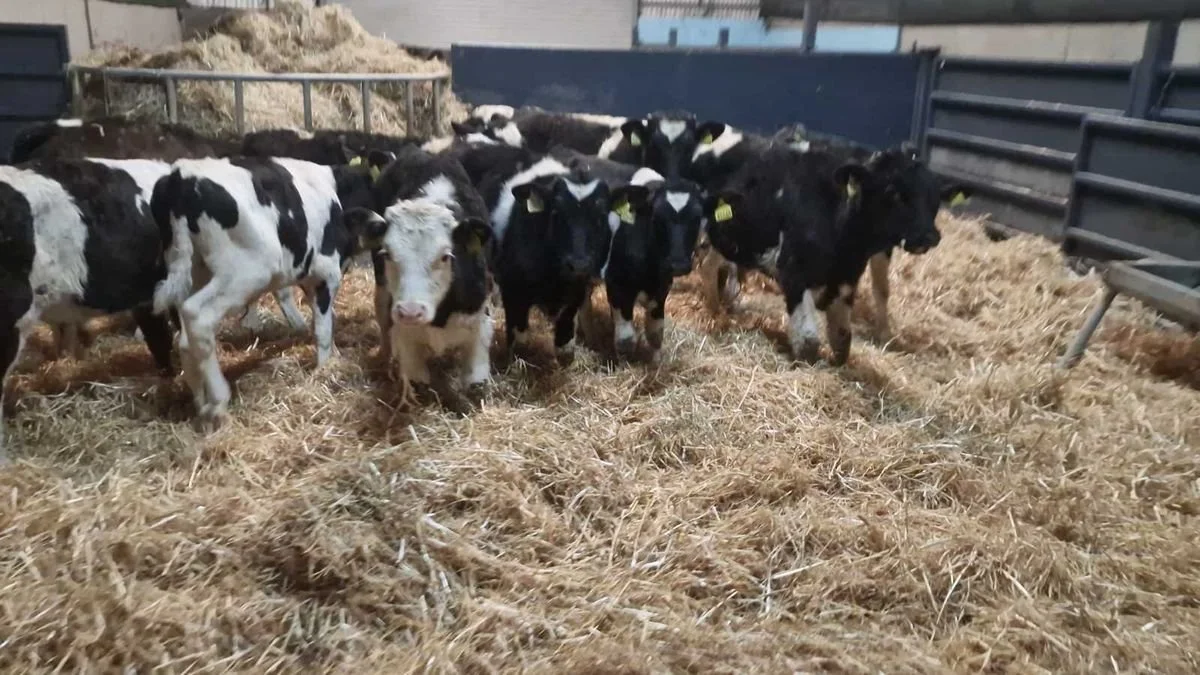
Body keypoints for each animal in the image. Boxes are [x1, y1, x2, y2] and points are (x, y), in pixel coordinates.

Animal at [149, 156, 378, 428]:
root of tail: (181, 175)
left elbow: (323, 321)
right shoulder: (327, 272)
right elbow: (323, 329)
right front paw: (324, 369)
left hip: (194, 271)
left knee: (185, 340)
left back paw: (201, 405)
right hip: (247, 271)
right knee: (197, 315)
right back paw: (218, 402)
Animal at [364, 146, 496, 398]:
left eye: (445, 256)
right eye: (387, 254)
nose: (410, 312)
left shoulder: (479, 322)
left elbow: (476, 385)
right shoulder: (405, 338)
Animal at [701, 143, 966, 366]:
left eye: (935, 197)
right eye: (893, 192)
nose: (929, 236)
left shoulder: (845, 281)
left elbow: (842, 340)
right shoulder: (793, 272)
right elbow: (809, 341)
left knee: (715, 265)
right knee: (708, 266)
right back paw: (714, 309)